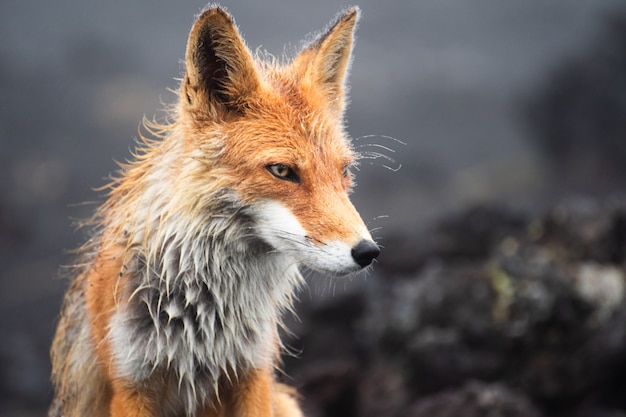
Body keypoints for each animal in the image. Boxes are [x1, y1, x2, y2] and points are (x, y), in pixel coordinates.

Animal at [48, 6, 378, 416]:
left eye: (344, 171)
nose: (368, 252)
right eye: (281, 171)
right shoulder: (131, 381)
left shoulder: (253, 369)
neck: (203, 312)